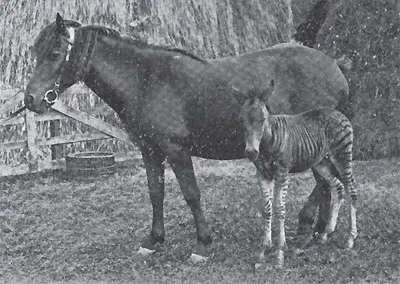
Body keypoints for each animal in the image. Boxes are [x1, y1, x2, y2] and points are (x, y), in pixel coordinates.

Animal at [24, 14, 346, 260]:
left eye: (54, 54)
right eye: (35, 53)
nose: (31, 99)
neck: (146, 80)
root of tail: (335, 69)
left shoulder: (176, 150)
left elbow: (191, 194)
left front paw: (202, 244)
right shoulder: (150, 150)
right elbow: (156, 192)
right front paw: (153, 240)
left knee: (326, 183)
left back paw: (307, 228)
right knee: (327, 184)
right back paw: (318, 229)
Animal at [233, 79, 358, 266]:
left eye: (262, 119)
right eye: (241, 120)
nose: (251, 153)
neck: (267, 144)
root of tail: (337, 112)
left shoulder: (282, 173)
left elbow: (279, 208)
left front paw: (280, 252)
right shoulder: (263, 174)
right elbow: (266, 208)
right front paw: (264, 250)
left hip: (342, 155)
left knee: (352, 189)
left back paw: (350, 239)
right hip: (321, 163)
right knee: (338, 187)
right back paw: (326, 234)